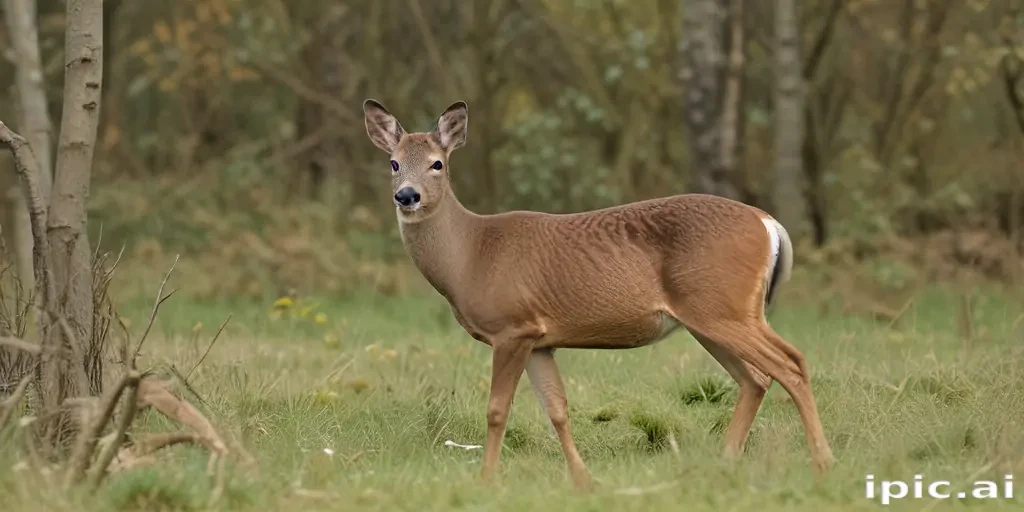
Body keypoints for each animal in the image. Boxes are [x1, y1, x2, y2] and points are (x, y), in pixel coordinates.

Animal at [362, 99, 835, 490]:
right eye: (393, 163)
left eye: (437, 164)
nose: (407, 196)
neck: (471, 254)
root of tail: (768, 223)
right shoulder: (538, 339)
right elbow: (558, 409)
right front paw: (583, 479)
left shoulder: (511, 328)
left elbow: (497, 410)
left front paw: (486, 481)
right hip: (711, 318)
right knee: (756, 379)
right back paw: (723, 463)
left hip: (724, 308)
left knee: (790, 364)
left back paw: (821, 463)